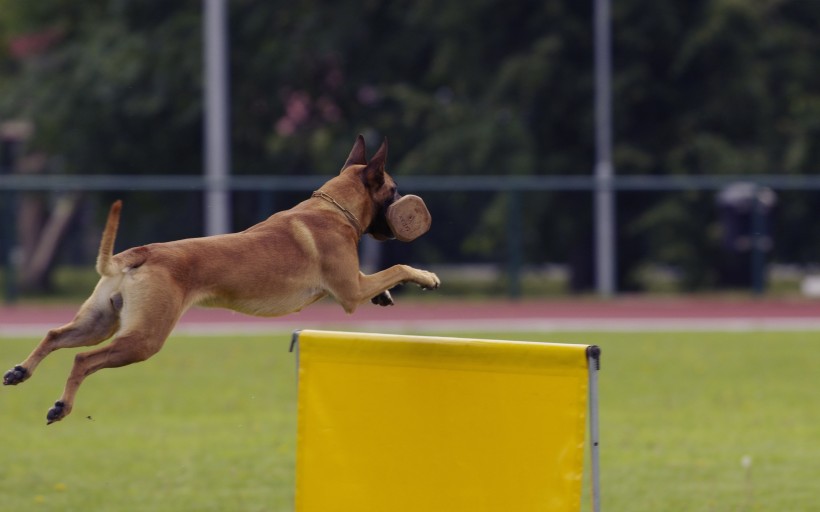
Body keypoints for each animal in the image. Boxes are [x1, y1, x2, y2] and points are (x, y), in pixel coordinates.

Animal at [3, 136, 438, 424]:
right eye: (393, 189)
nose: (407, 210)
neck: (333, 208)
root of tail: (139, 253)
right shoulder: (350, 291)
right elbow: (398, 269)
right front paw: (426, 276)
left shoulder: (355, 283)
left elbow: (384, 278)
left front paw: (385, 298)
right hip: (143, 339)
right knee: (82, 359)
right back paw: (61, 406)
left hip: (99, 322)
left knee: (55, 335)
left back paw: (21, 371)